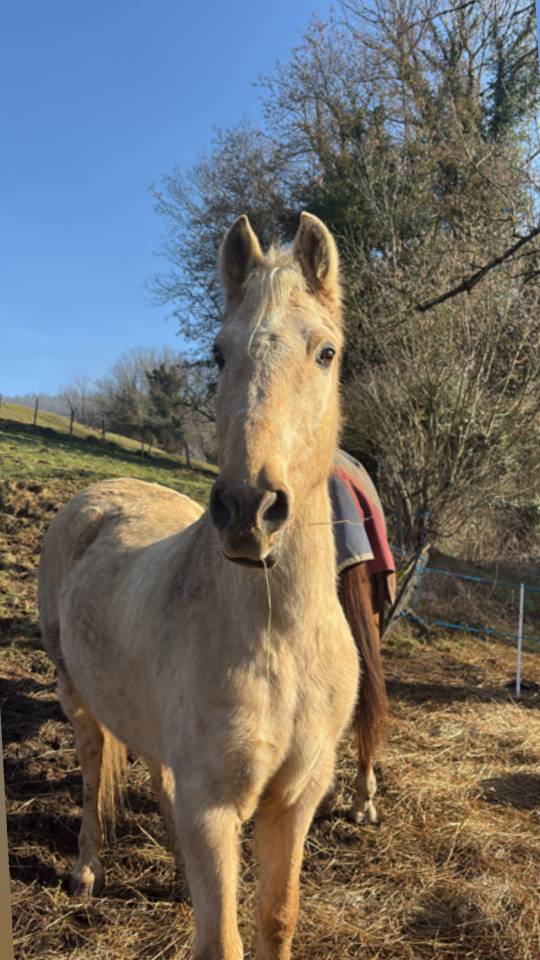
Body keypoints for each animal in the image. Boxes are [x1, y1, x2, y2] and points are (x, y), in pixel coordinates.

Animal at [38, 212, 362, 960]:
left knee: (157, 777)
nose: (249, 509)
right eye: (218, 353)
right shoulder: (214, 805)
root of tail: (100, 490)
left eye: (326, 352)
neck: (278, 637)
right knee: (94, 769)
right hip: (75, 696)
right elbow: (224, 940)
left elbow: (276, 919)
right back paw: (86, 872)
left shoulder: (295, 799)